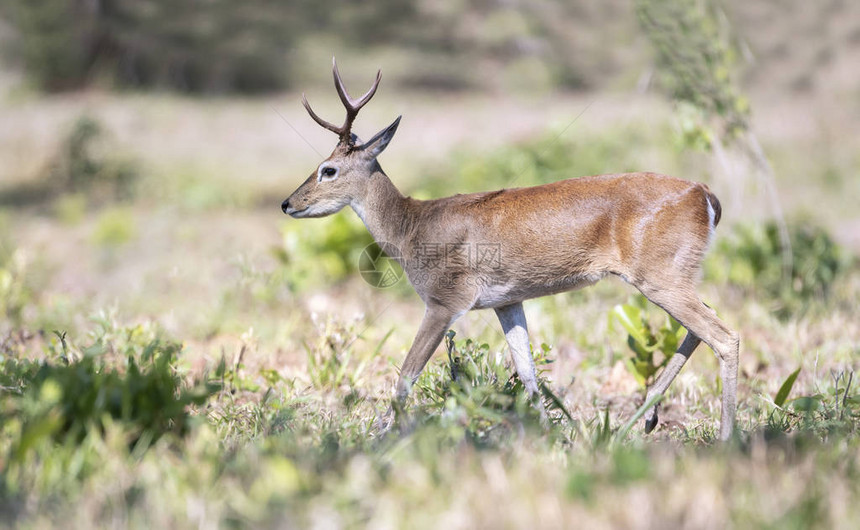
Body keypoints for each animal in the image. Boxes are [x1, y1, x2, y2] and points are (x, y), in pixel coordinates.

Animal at [282, 58, 740, 438]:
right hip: (673, 276)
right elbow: (528, 372)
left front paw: (380, 437)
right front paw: (545, 437)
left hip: (660, 276)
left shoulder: (446, 300)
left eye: (328, 169)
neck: (412, 226)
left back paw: (724, 437)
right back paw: (639, 421)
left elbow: (406, 374)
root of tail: (706, 195)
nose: (287, 203)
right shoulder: (507, 301)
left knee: (725, 336)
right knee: (703, 327)